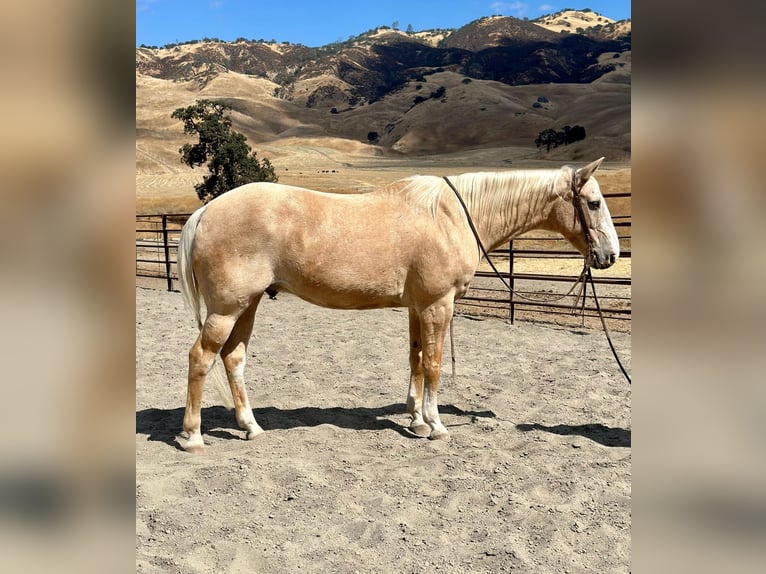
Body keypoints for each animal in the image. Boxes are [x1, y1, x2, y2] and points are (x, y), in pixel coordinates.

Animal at [177, 159, 620, 454]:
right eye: (594, 203)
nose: (611, 255)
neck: (453, 216)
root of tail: (206, 211)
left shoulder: (417, 307)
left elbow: (416, 359)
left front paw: (416, 418)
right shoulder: (438, 305)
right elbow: (434, 364)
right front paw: (436, 424)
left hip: (248, 304)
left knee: (233, 359)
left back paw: (251, 426)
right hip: (226, 309)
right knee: (201, 357)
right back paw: (192, 436)